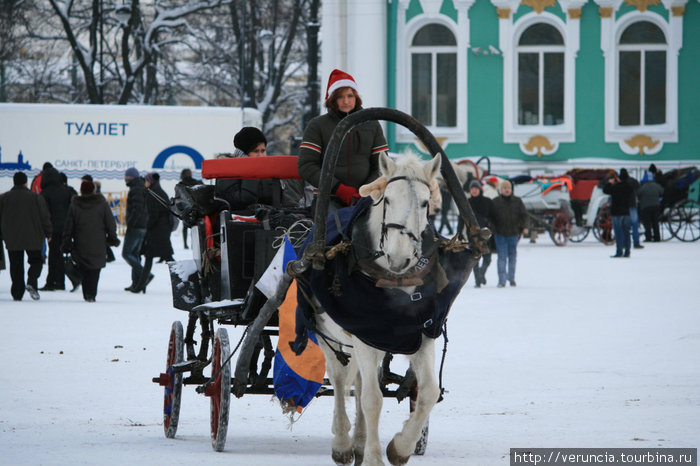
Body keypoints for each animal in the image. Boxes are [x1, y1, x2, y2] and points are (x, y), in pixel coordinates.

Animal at [312, 151, 442, 464]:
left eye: (424, 202)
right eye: (388, 199)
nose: (399, 258)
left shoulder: (421, 337)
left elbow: (428, 393)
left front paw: (400, 447)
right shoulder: (363, 339)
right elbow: (372, 399)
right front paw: (372, 457)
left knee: (357, 384)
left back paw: (359, 441)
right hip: (327, 334)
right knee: (339, 380)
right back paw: (343, 443)